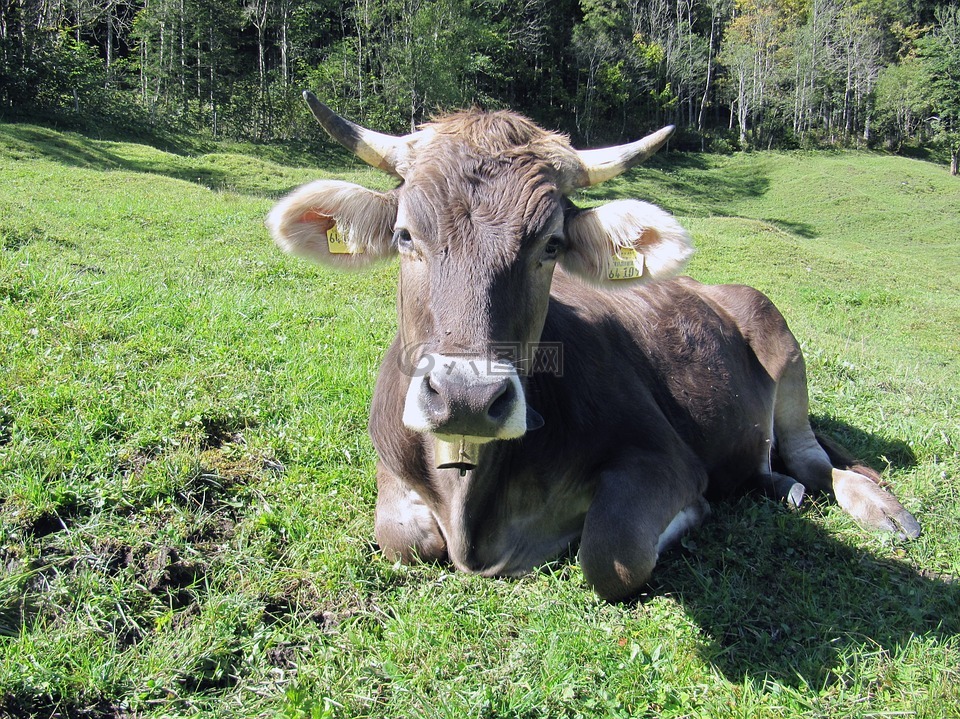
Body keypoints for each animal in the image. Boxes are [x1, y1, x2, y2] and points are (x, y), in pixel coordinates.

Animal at [266, 93, 920, 604]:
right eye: (405, 235)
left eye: (551, 244)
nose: (467, 396)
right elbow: (403, 540)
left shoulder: (665, 458)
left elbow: (612, 556)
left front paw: (688, 515)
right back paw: (781, 490)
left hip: (785, 352)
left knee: (815, 459)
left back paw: (882, 510)